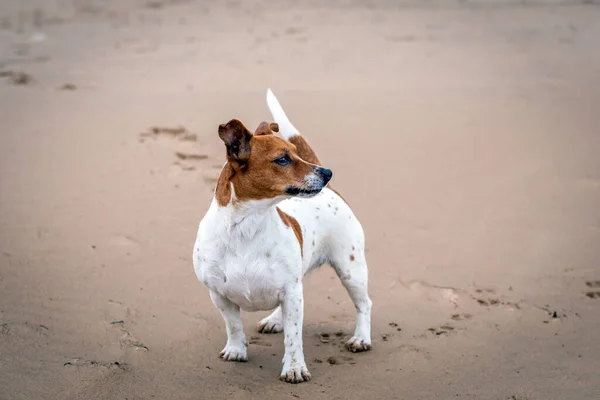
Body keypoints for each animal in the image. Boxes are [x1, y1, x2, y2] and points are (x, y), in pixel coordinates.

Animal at [193, 89, 370, 382]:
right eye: (283, 159)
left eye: (297, 154)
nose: (328, 172)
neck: (249, 225)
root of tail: (332, 191)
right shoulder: (219, 294)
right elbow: (233, 325)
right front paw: (236, 350)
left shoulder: (292, 292)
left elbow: (293, 337)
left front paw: (295, 367)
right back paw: (275, 319)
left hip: (350, 270)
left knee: (364, 303)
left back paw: (361, 338)